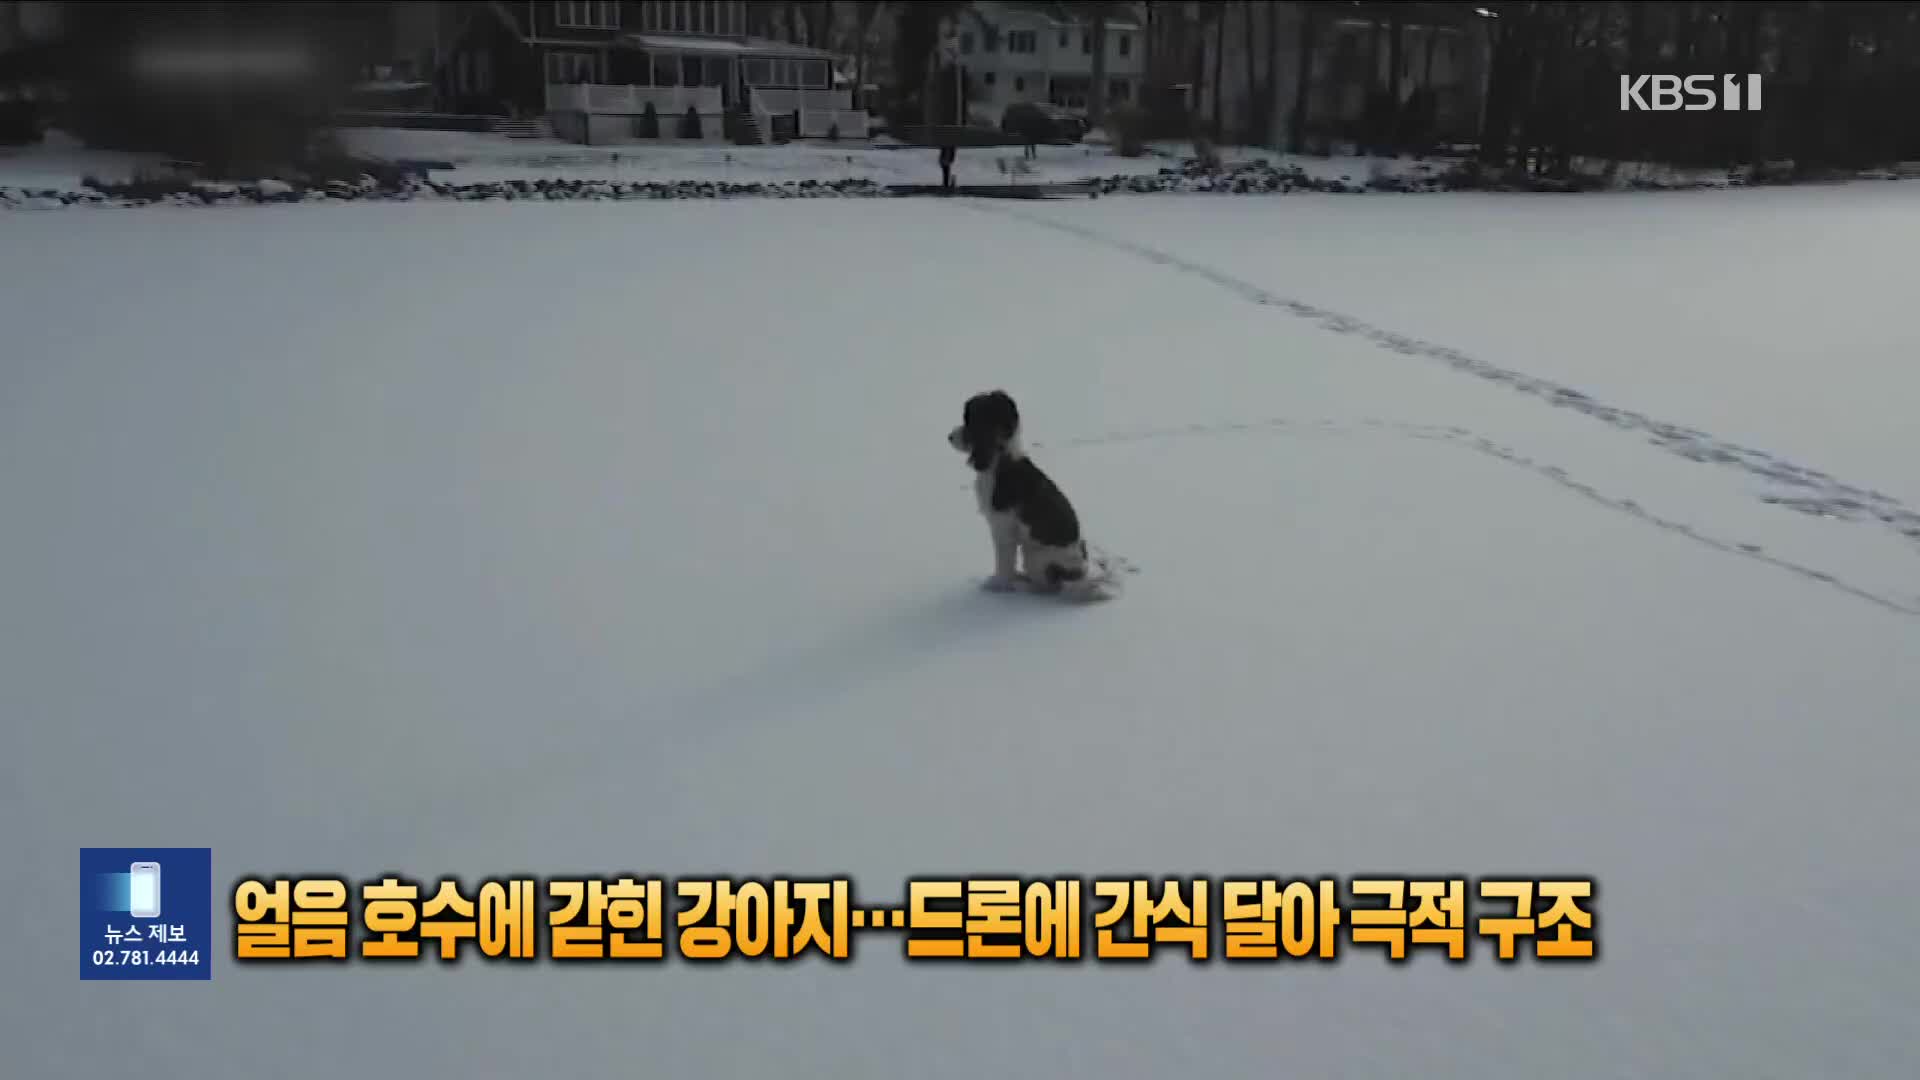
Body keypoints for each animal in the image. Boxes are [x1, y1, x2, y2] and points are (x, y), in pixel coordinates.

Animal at [948, 388, 1098, 591]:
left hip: (1035, 555)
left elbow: (1004, 562)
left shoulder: (1003, 528)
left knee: (1049, 585)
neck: (1000, 460)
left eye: (969, 422)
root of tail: (1081, 574)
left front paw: (997, 584)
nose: (949, 437)